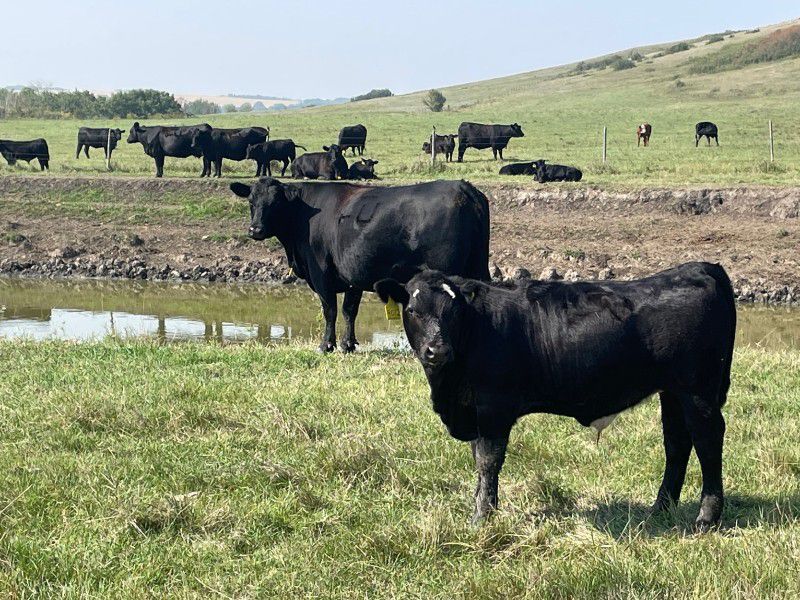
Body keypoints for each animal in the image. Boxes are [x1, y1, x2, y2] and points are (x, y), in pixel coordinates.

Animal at [230, 178, 490, 353]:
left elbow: (330, 310)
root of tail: (463, 187)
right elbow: (349, 310)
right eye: (251, 201)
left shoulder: (321, 273)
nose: (255, 229)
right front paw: (348, 344)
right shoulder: (352, 275)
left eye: (275, 203)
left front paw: (327, 345)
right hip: (479, 265)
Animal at [374, 262, 736, 531]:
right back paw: (660, 507)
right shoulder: (475, 412)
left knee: (707, 439)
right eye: (413, 309)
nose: (437, 350)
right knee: (676, 442)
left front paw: (482, 517)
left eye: (453, 311)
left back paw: (707, 516)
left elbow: (488, 460)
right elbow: (479, 459)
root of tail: (700, 268)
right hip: (672, 391)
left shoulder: (493, 407)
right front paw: (482, 505)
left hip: (697, 390)